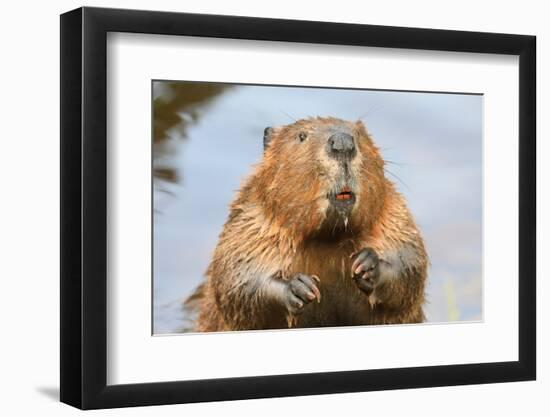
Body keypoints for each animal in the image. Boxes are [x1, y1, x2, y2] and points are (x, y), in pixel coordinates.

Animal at [190, 115, 432, 330]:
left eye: (358, 134)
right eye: (302, 136)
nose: (342, 143)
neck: (328, 239)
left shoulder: (392, 215)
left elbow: (410, 261)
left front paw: (366, 265)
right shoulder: (251, 221)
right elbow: (236, 279)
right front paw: (300, 287)